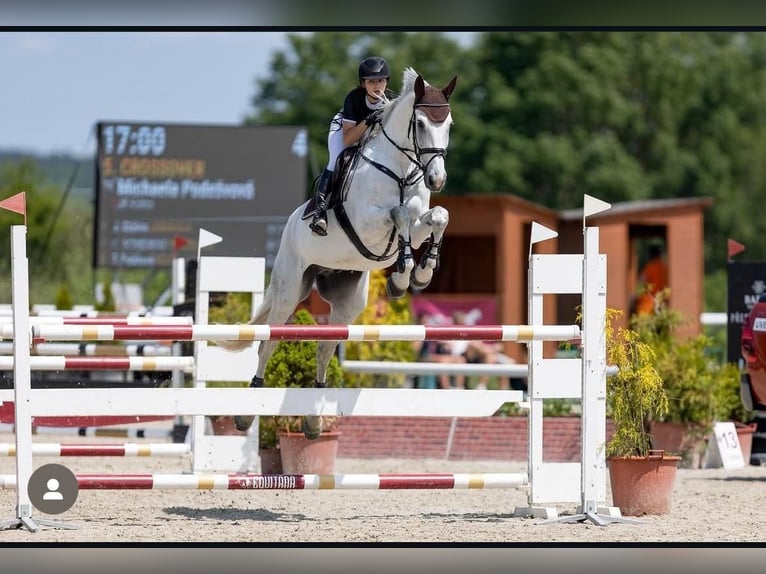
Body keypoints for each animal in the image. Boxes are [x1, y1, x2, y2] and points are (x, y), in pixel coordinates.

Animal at [218, 67, 457, 439]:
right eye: (419, 123)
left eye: (448, 124)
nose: (437, 179)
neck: (401, 171)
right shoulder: (368, 223)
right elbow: (399, 214)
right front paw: (403, 275)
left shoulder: (419, 223)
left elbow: (437, 217)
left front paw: (418, 274)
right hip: (290, 290)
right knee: (268, 341)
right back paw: (247, 413)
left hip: (348, 303)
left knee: (324, 348)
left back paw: (313, 421)